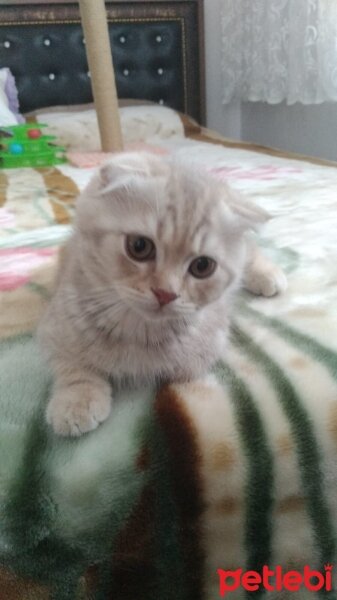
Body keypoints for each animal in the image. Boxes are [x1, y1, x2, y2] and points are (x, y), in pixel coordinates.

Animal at [37, 151, 286, 436]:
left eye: (202, 266)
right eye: (139, 246)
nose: (165, 293)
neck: (137, 327)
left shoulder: (210, 343)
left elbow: (182, 367)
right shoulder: (55, 325)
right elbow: (70, 363)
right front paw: (76, 399)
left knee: (250, 248)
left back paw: (267, 274)